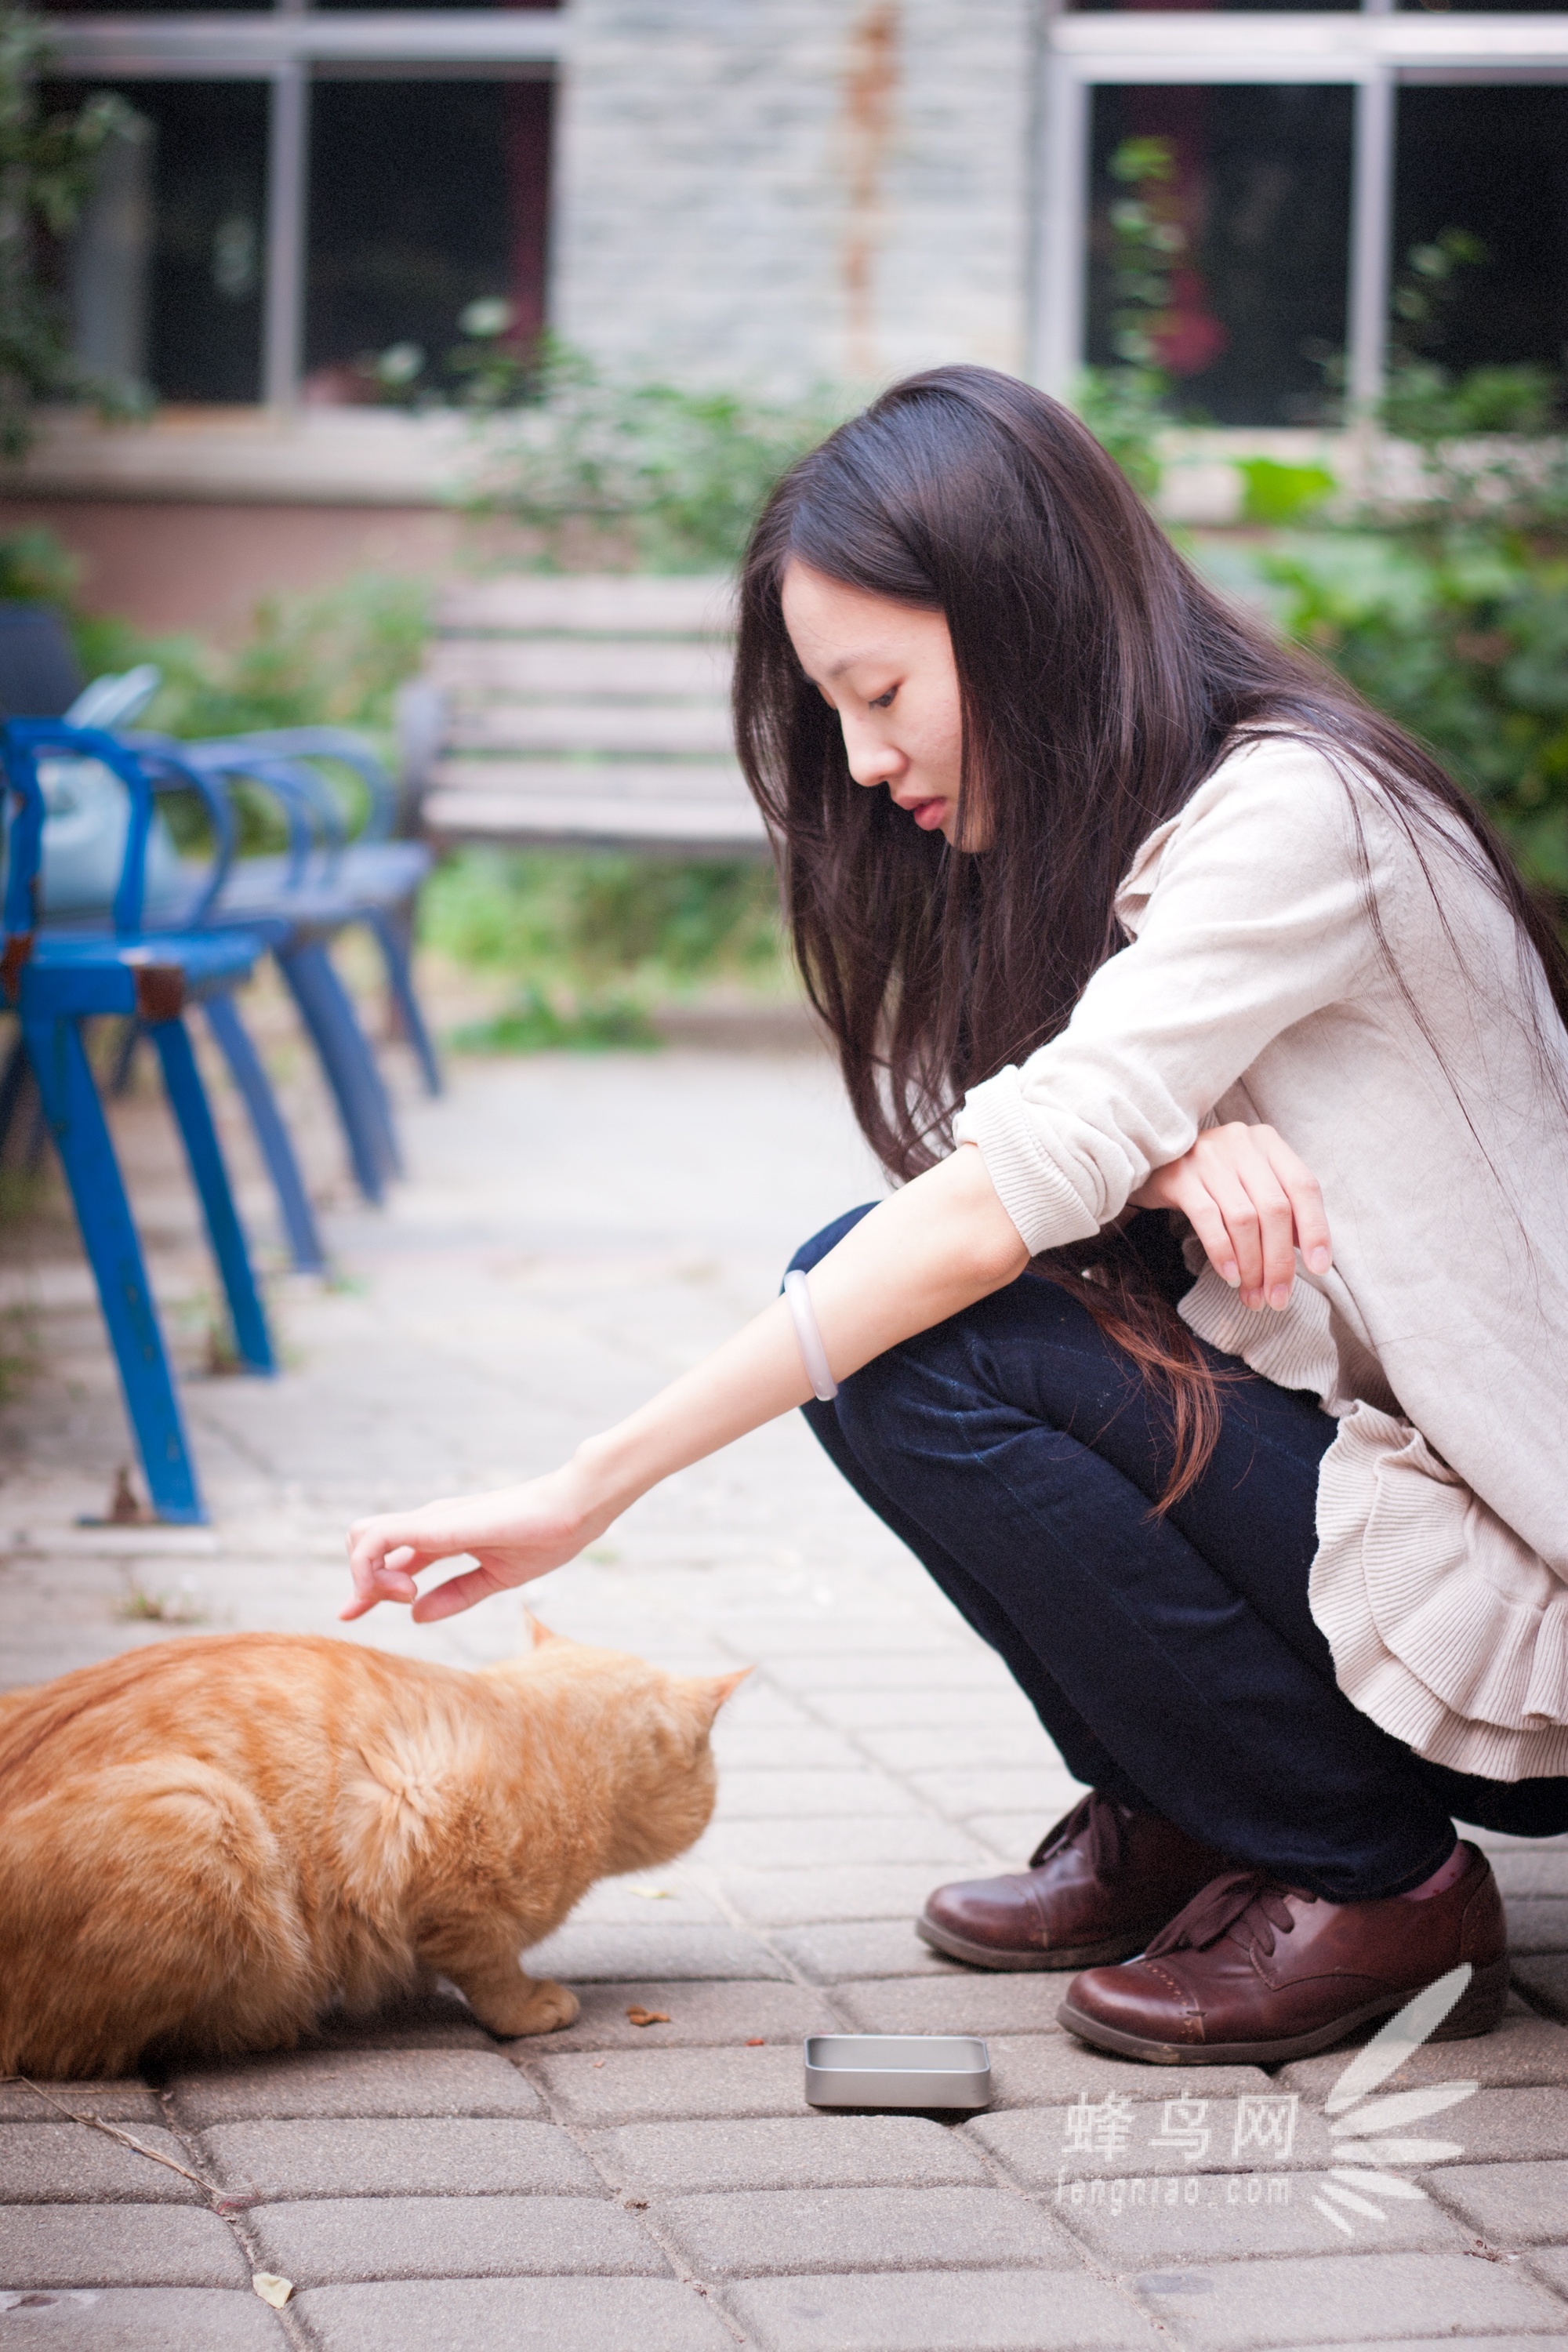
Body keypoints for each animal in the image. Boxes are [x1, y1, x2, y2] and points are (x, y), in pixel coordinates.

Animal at [0, 1618, 747, 2079]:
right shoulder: (429, 1843)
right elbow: (493, 1970)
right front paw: (528, 2007)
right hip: (202, 1813)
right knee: (75, 2045)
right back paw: (262, 2027)